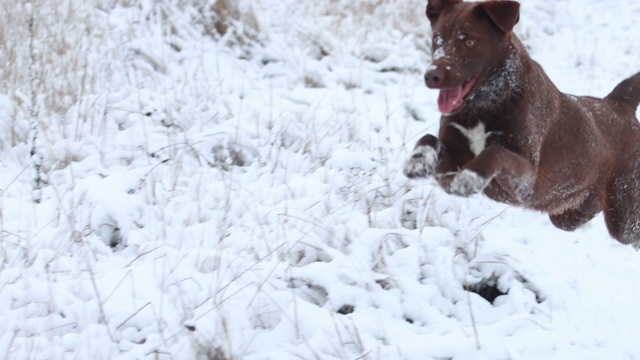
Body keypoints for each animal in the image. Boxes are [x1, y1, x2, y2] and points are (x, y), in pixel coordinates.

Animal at [404, 0, 640, 245]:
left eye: (469, 41)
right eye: (437, 38)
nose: (432, 75)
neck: (483, 106)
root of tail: (620, 103)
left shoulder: (526, 182)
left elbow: (495, 152)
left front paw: (470, 177)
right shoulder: (449, 172)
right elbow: (429, 139)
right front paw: (417, 161)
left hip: (623, 212)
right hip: (567, 212)